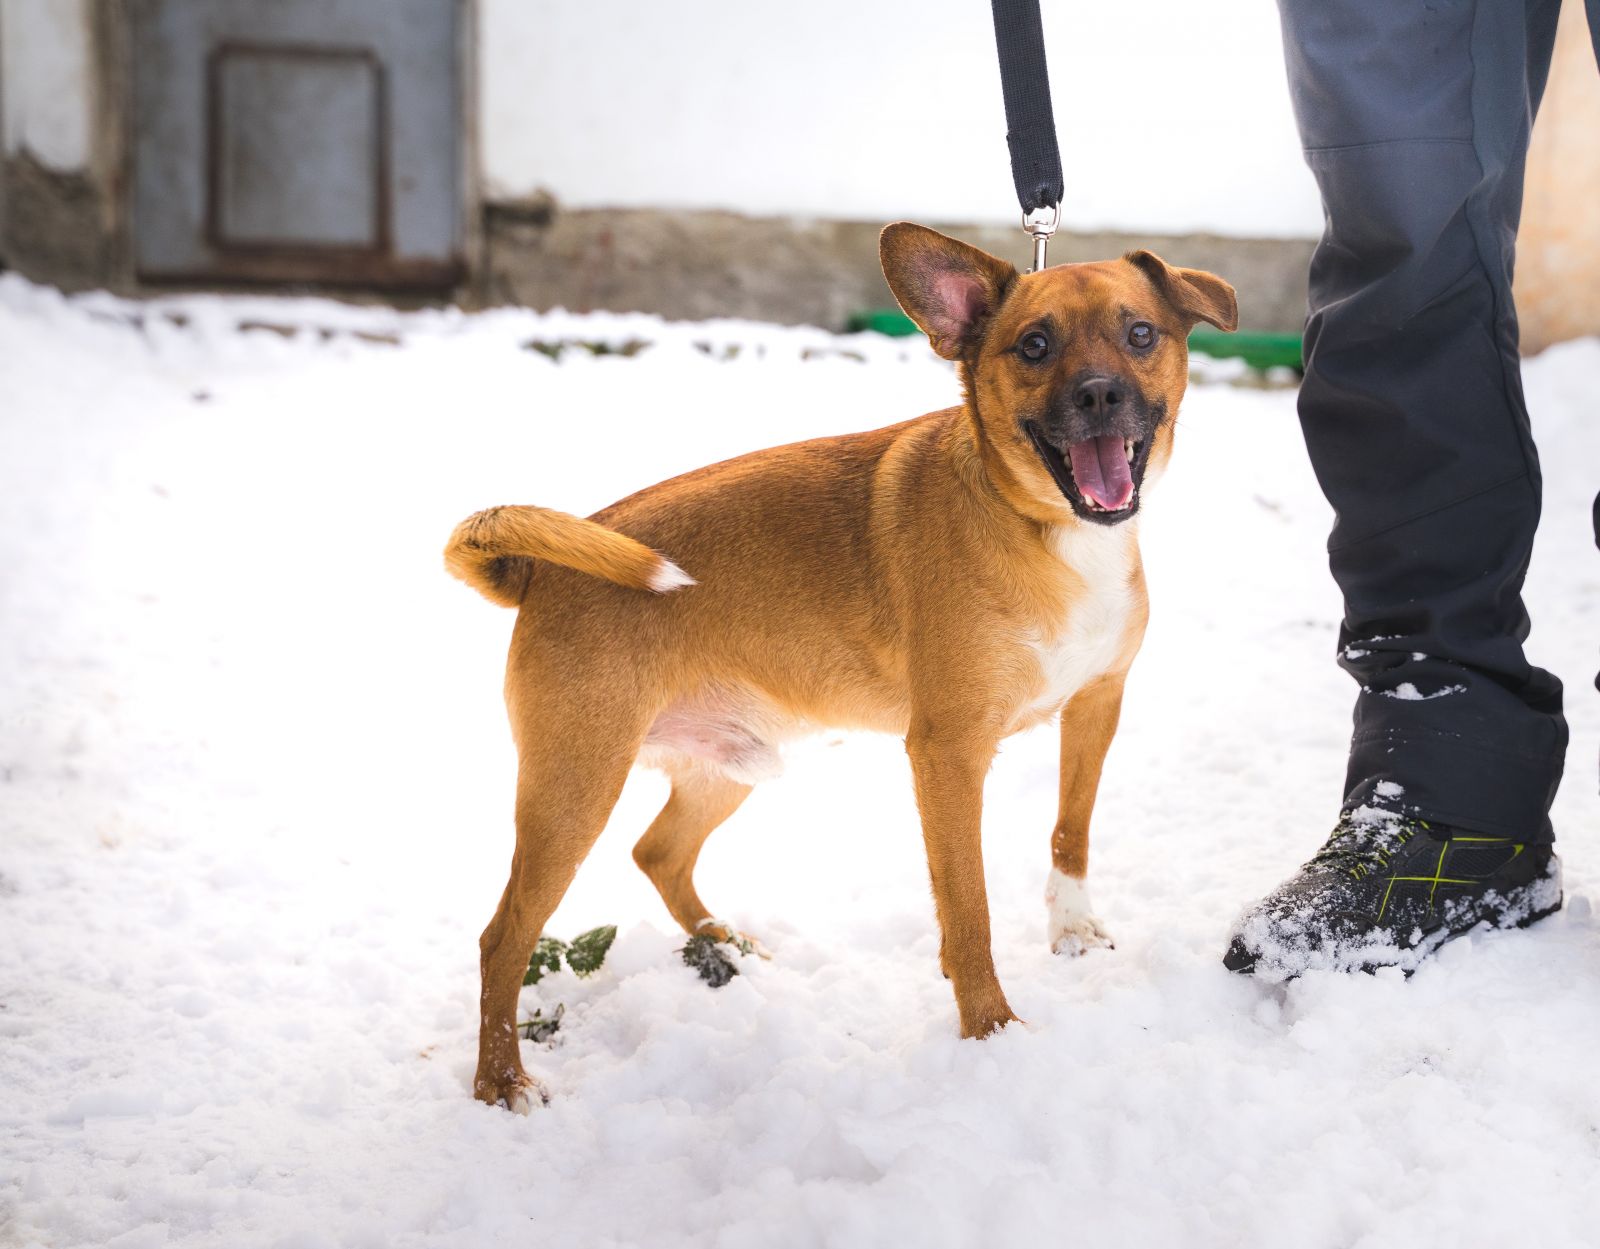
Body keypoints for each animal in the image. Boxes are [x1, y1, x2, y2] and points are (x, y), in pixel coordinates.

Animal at [446, 222, 1236, 1111]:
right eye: (1034, 345)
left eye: (1140, 334)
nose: (1101, 394)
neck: (1046, 526)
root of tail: (541, 570)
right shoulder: (948, 755)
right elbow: (968, 907)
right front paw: (990, 1031)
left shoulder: (1097, 704)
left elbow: (1071, 829)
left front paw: (1070, 926)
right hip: (574, 790)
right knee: (503, 936)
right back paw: (502, 1081)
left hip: (727, 767)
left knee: (658, 853)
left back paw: (726, 947)